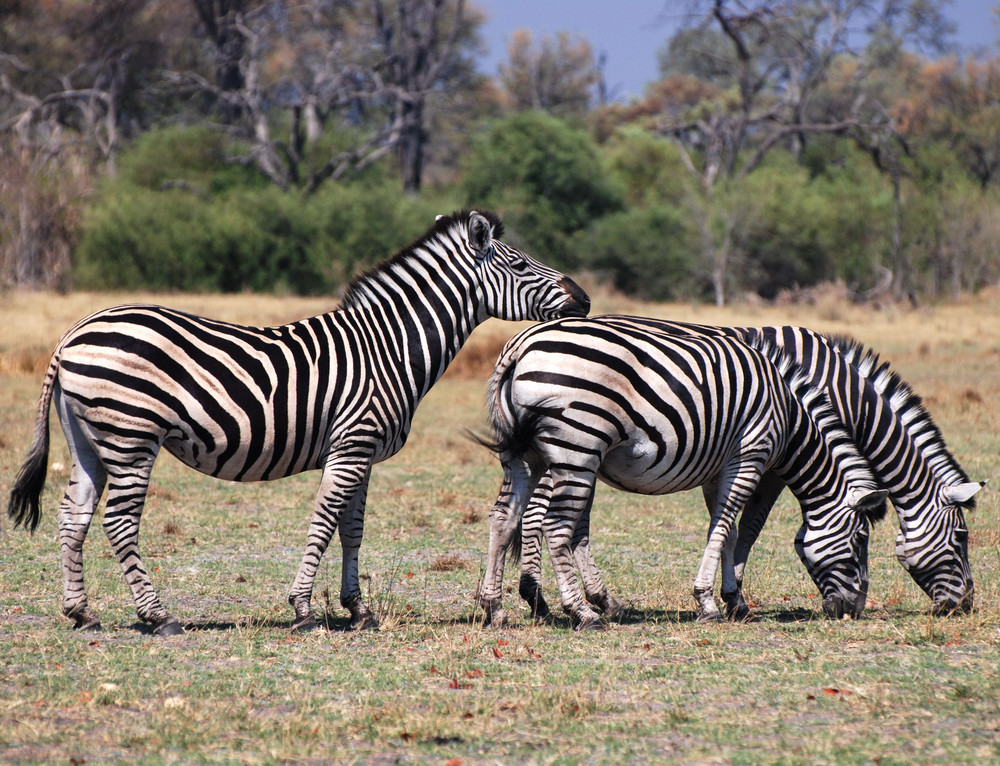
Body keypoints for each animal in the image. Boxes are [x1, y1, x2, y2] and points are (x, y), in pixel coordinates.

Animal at [5, 208, 592, 636]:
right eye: (520, 266)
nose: (584, 300)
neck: (389, 346)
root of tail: (74, 332)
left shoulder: (361, 451)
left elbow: (353, 528)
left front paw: (358, 609)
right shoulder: (352, 444)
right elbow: (323, 520)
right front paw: (304, 610)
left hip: (90, 440)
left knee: (73, 516)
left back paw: (82, 613)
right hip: (131, 435)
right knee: (119, 521)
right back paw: (158, 616)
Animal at [512, 318, 980, 624]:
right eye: (961, 538)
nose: (966, 605)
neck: (841, 394)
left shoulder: (726, 460)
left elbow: (728, 527)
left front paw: (728, 597)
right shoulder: (770, 463)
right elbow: (746, 529)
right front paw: (728, 600)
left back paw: (550, 601)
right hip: (575, 446)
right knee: (540, 517)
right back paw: (547, 601)